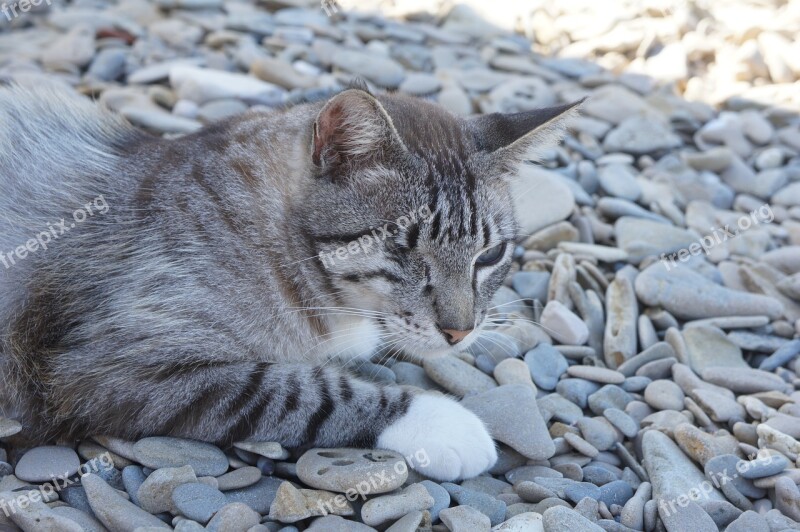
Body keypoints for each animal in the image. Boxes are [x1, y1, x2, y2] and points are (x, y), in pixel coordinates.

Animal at [0, 80, 580, 482]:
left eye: (492, 255)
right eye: (402, 246)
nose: (460, 333)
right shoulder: (104, 370)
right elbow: (300, 390)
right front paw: (442, 423)